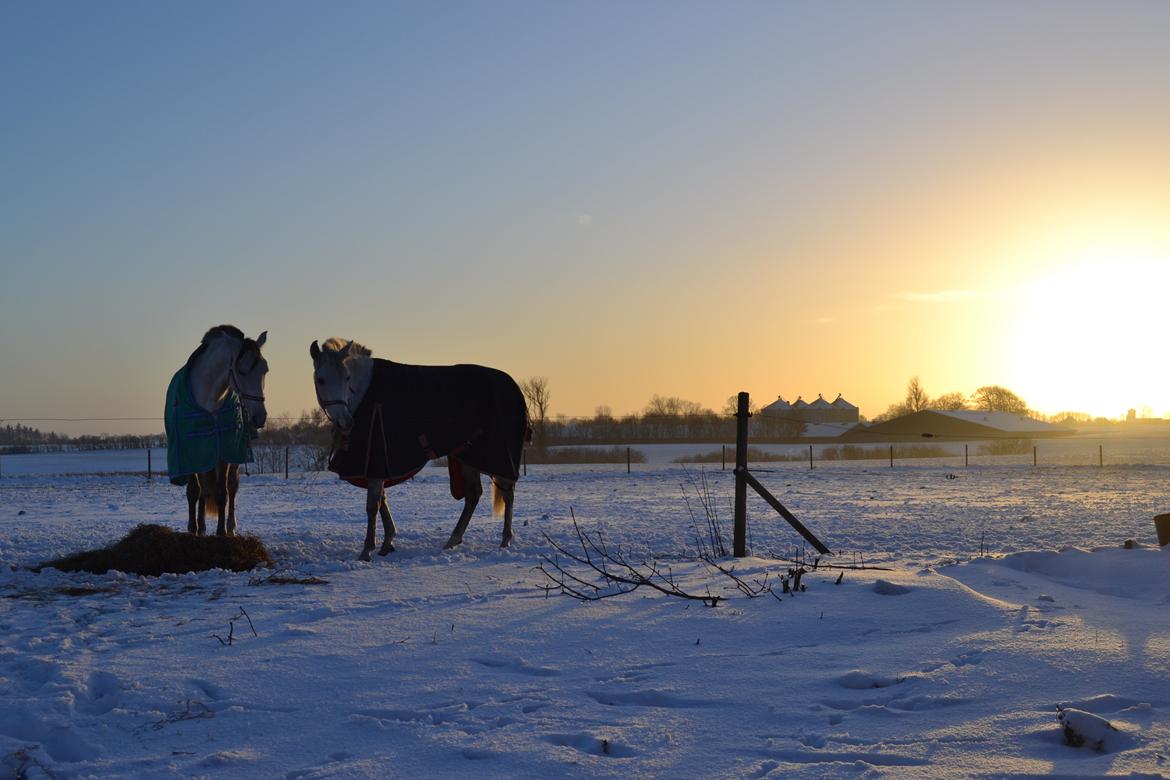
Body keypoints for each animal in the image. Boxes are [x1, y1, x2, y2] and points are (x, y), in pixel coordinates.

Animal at [164, 325, 269, 537]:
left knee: (231, 487)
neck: (209, 403)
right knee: (203, 489)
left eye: (265, 370)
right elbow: (194, 491)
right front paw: (193, 529)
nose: (260, 417)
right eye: (242, 370)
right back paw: (201, 526)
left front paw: (221, 532)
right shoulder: (191, 452)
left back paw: (230, 527)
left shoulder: (225, 452)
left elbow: (222, 492)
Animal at [311, 339, 531, 558]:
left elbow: (373, 505)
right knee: (473, 495)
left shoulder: (376, 460)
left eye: (347, 377)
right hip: (467, 456)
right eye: (321, 380)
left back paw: (505, 539)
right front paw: (387, 541)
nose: (345, 421)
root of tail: (512, 386)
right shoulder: (377, 463)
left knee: (507, 493)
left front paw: (367, 549)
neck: (366, 395)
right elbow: (382, 499)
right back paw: (453, 539)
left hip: (499, 456)